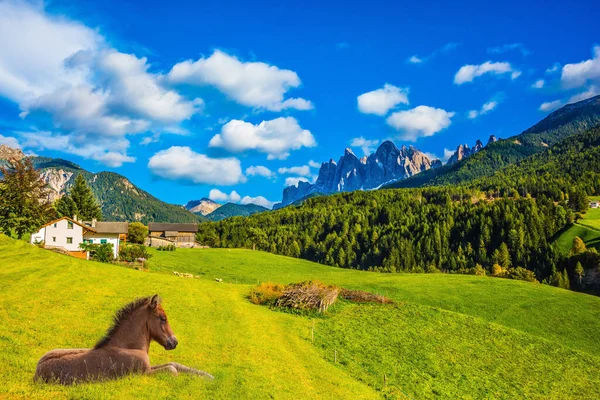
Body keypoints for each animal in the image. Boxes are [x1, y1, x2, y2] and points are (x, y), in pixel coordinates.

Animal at [34, 294, 213, 384]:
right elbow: (172, 370)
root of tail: (36, 372)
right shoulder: (142, 373)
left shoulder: (148, 366)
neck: (128, 346)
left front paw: (208, 376)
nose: (174, 342)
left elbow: (174, 364)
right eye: (163, 318)